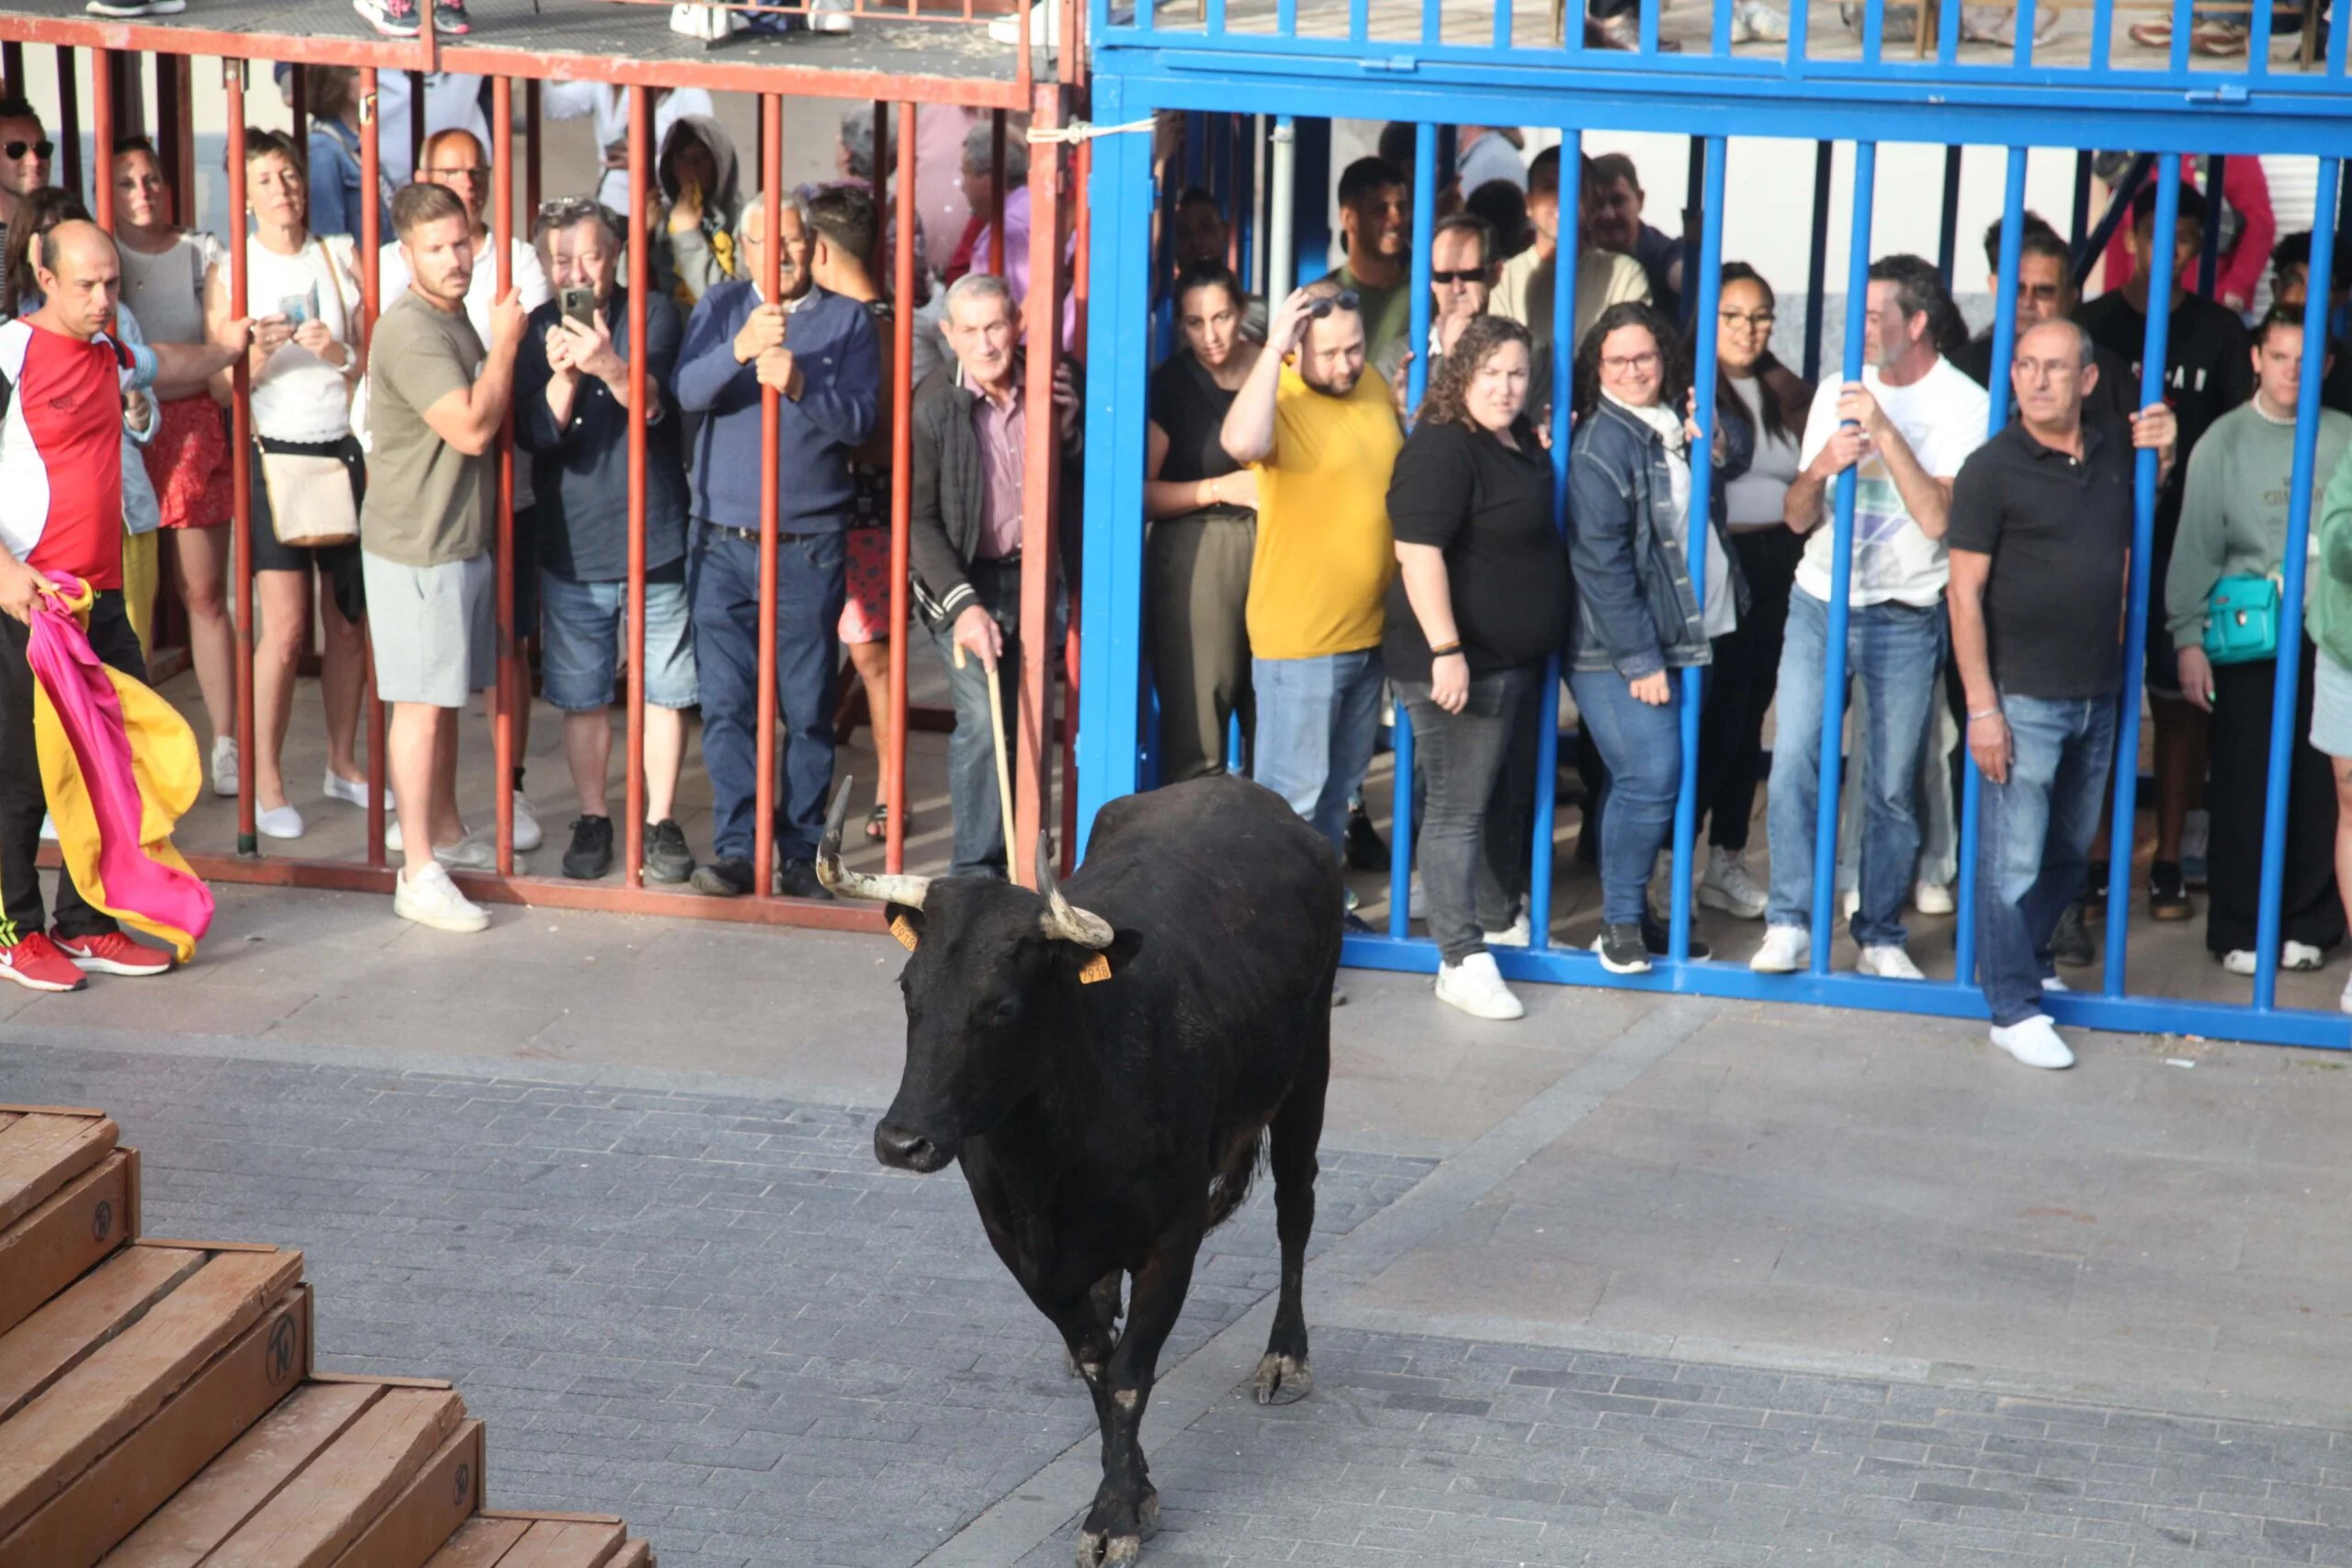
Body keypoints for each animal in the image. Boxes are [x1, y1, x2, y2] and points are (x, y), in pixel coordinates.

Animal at [823, 775, 1345, 1568]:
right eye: (909, 989)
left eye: (1001, 1008)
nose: (901, 1140)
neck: (1051, 1155)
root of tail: (1243, 790)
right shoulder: (1020, 1249)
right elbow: (1099, 1362)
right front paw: (1134, 1486)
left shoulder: (1173, 1236)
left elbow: (1131, 1375)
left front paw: (1114, 1515)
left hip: (1307, 1069)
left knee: (1296, 1208)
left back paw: (1286, 1356)